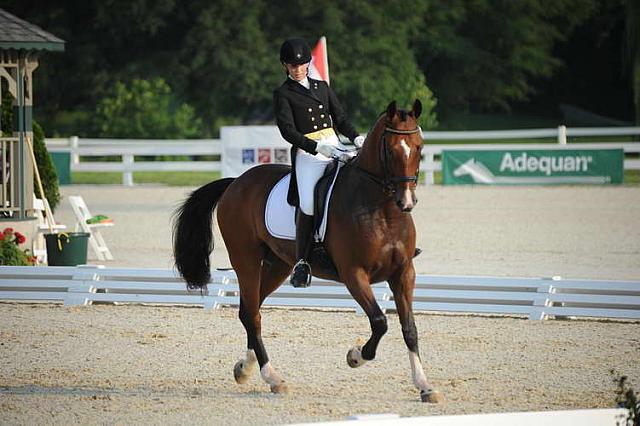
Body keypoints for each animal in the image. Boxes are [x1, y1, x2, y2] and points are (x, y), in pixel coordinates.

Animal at [175, 99, 444, 402]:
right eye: (390, 149)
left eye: (419, 147)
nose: (406, 202)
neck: (382, 210)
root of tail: (236, 182)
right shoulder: (354, 273)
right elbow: (379, 321)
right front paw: (355, 356)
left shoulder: (404, 272)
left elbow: (409, 328)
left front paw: (424, 385)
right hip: (246, 260)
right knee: (252, 315)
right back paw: (273, 377)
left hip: (277, 265)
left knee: (250, 308)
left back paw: (245, 368)